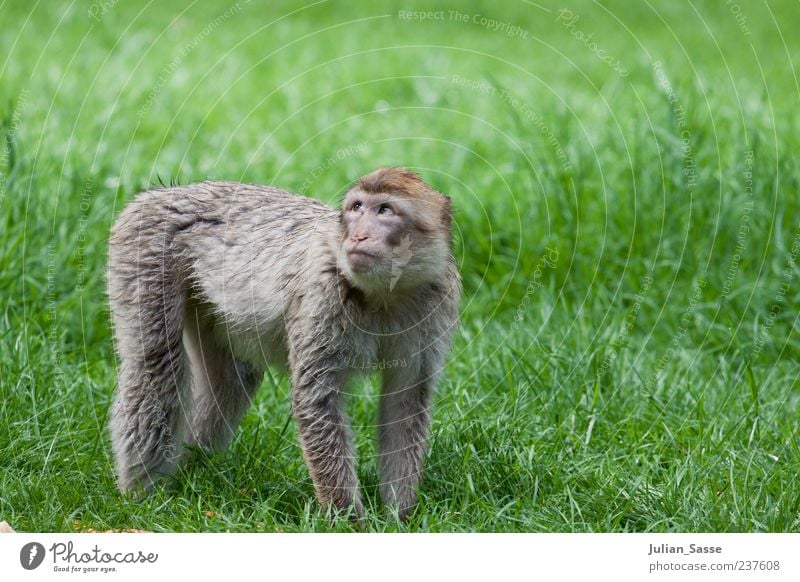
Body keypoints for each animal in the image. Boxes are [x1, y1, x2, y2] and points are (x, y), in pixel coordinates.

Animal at [107, 168, 460, 520]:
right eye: (357, 207)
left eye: (384, 210)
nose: (358, 236)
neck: (384, 296)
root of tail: (160, 194)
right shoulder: (323, 293)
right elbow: (316, 397)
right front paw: (346, 519)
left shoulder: (437, 303)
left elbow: (405, 400)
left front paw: (400, 515)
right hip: (145, 252)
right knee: (157, 367)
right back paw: (143, 497)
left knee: (232, 381)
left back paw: (189, 472)